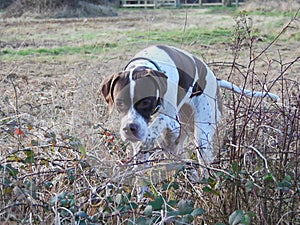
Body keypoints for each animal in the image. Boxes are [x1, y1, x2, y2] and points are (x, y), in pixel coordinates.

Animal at [101, 44, 278, 192]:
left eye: (145, 102)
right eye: (120, 103)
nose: (129, 129)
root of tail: (214, 78)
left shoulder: (172, 122)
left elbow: (158, 123)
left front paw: (149, 137)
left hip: (201, 137)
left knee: (204, 165)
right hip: (180, 136)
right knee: (179, 156)